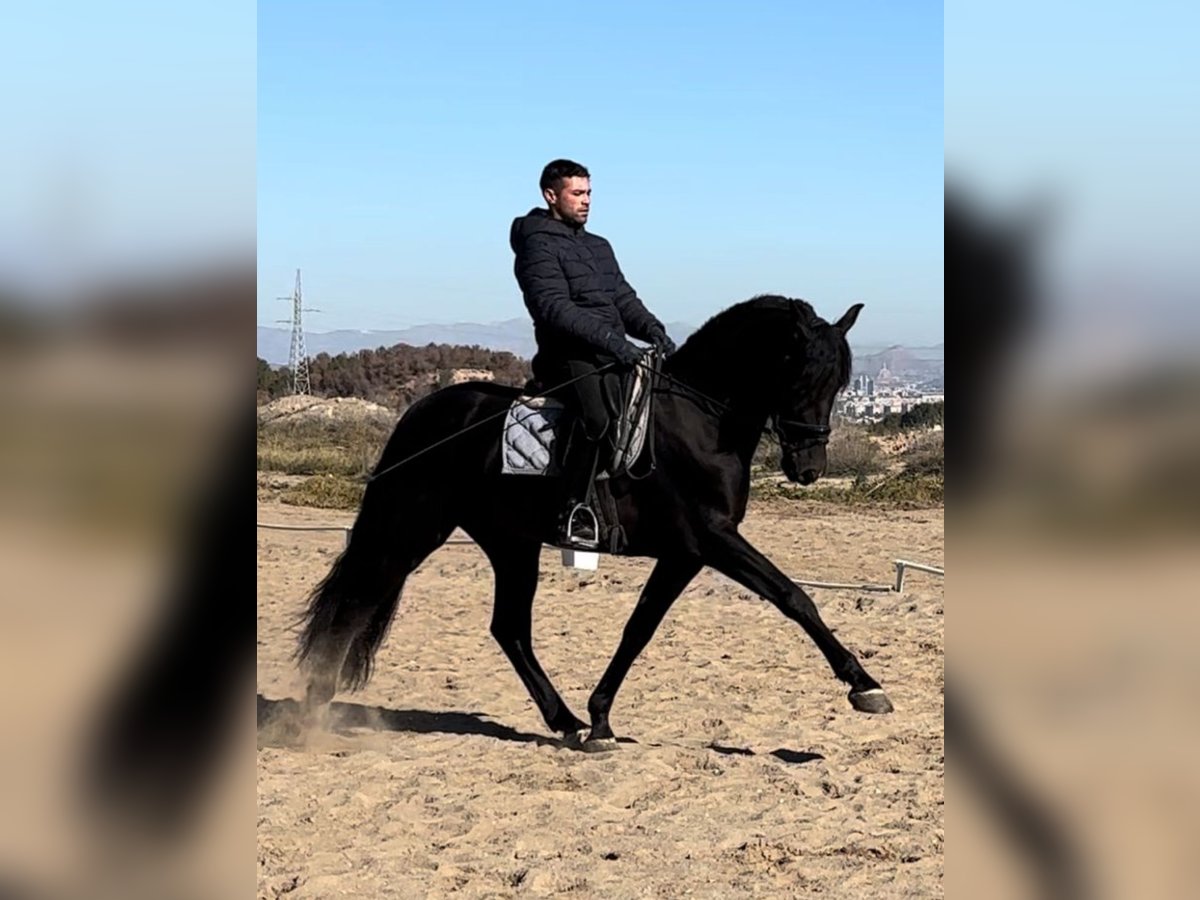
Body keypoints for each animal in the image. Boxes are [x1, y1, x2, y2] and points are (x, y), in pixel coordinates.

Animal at [296, 294, 893, 750]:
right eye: (799, 377)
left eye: (839, 385)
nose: (808, 468)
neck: (701, 421)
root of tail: (422, 412)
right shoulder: (713, 538)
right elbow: (794, 596)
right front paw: (864, 686)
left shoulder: (685, 552)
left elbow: (639, 628)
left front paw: (601, 717)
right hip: (410, 530)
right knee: (359, 598)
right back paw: (314, 712)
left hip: (510, 542)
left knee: (508, 628)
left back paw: (566, 722)